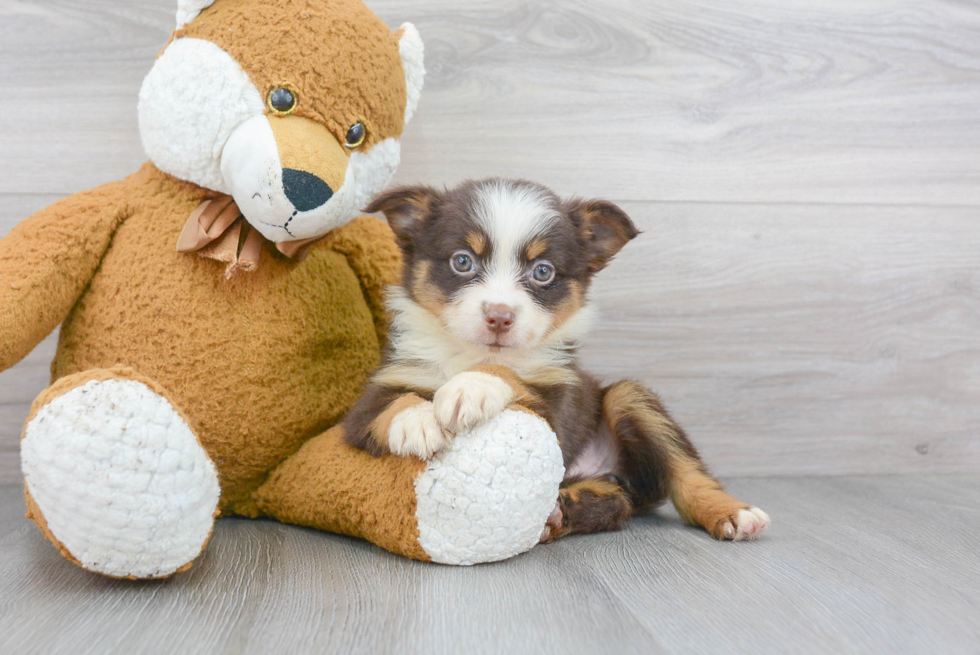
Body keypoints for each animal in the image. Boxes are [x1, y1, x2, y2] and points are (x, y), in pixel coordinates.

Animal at [348, 178, 768, 544]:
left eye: (543, 271)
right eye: (462, 262)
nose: (499, 317)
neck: (472, 352)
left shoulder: (560, 409)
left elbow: (508, 373)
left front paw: (472, 386)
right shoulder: (370, 400)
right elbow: (388, 404)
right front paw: (417, 421)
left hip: (629, 398)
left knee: (684, 474)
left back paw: (733, 513)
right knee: (618, 501)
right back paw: (562, 512)